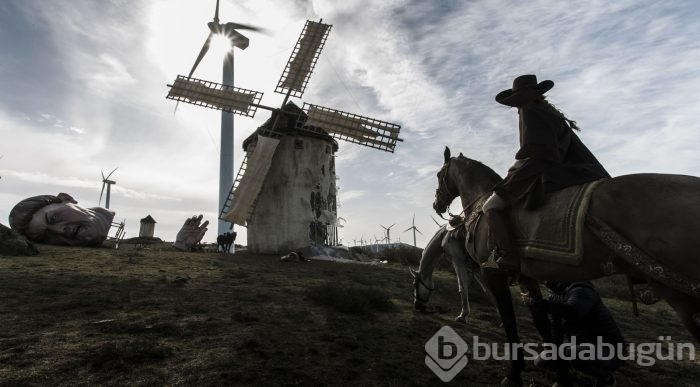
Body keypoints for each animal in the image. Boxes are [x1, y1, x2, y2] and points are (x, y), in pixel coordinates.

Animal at [432, 147, 700, 386]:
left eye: (438, 175)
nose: (436, 204)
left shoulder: (493, 272)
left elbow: (510, 321)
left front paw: (515, 374)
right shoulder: (525, 277)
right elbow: (542, 321)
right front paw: (560, 374)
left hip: (678, 293)